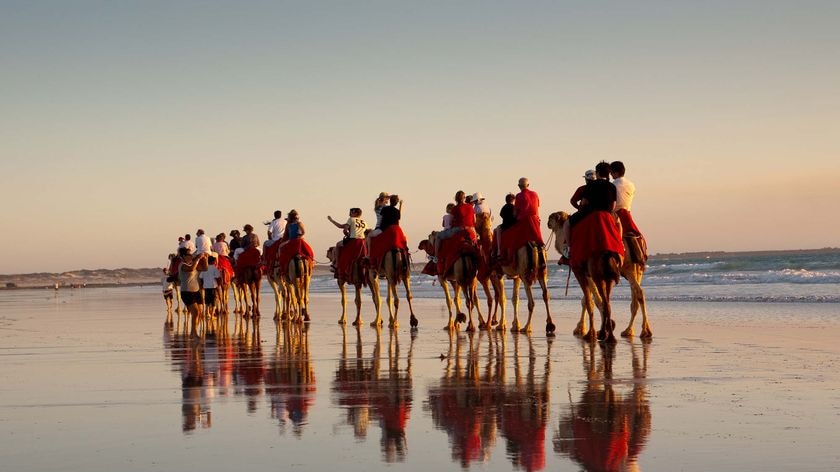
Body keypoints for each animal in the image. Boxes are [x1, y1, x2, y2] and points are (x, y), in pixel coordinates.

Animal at [548, 211, 652, 340]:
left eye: (552, 217)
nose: (547, 221)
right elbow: (589, 300)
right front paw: (589, 328)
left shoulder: (587, 273)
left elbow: (593, 300)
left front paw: (586, 330)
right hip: (635, 269)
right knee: (637, 296)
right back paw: (632, 330)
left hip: (627, 269)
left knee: (637, 294)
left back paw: (641, 331)